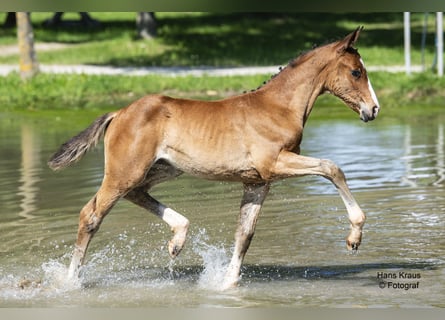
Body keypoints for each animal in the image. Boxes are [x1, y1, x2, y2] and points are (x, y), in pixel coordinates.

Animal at [50, 26, 380, 288]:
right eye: (356, 72)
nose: (373, 109)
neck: (278, 108)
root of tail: (118, 113)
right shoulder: (274, 163)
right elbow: (331, 167)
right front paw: (355, 236)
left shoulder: (258, 181)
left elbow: (244, 233)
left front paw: (228, 283)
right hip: (124, 172)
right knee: (91, 215)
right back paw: (70, 281)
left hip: (163, 169)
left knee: (136, 194)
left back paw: (178, 239)